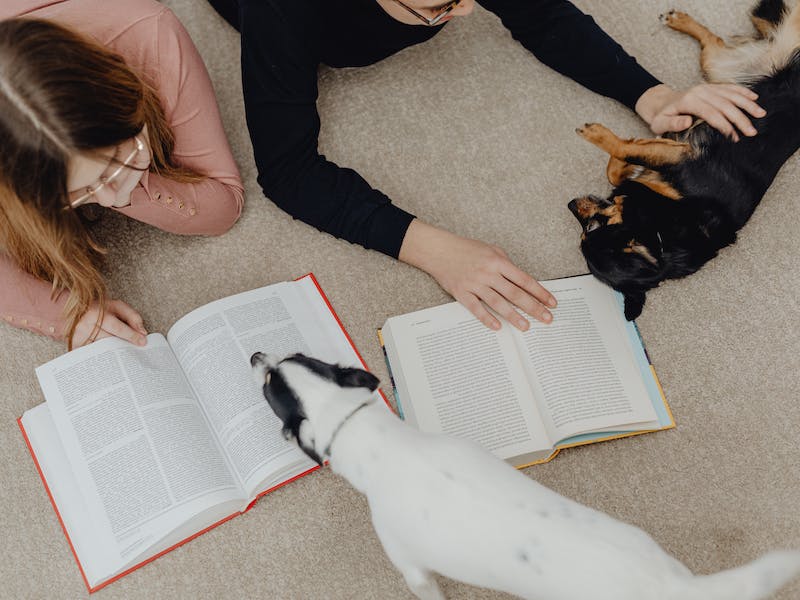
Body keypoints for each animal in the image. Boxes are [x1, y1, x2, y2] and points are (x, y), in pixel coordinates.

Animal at [252, 352, 800, 600]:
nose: (256, 354)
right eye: (288, 357)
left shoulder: (412, 567)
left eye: (265, 382)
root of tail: (666, 587)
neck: (372, 435)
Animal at [568, 0, 800, 322]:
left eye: (590, 228)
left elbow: (625, 153)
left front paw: (602, 137)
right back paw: (679, 19)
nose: (569, 205)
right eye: (582, 235)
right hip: (717, 65)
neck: (659, 229)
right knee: (713, 41)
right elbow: (621, 166)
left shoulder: (680, 156)